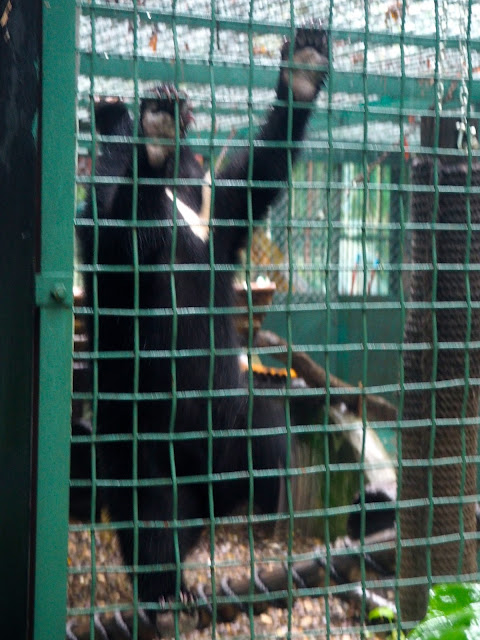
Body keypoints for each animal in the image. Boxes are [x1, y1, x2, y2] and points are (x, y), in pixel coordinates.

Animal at [77, 23, 328, 620]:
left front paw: (303, 67)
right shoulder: (103, 227)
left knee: (265, 437)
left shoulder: (217, 215)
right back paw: (166, 590)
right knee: (151, 513)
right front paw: (153, 130)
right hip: (142, 441)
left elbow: (253, 180)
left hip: (229, 421)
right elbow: (121, 245)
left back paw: (254, 521)